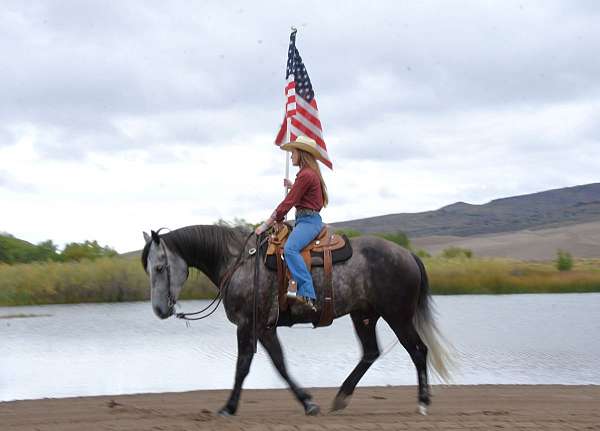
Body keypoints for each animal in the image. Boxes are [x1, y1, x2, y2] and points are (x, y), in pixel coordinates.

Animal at [142, 226, 450, 418]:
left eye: (160, 267)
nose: (158, 309)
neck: (238, 262)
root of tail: (407, 254)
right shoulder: (265, 328)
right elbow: (280, 365)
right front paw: (308, 402)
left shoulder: (247, 325)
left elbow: (242, 367)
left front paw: (228, 408)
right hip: (364, 316)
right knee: (371, 352)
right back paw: (341, 397)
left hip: (397, 316)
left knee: (418, 351)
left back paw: (423, 403)